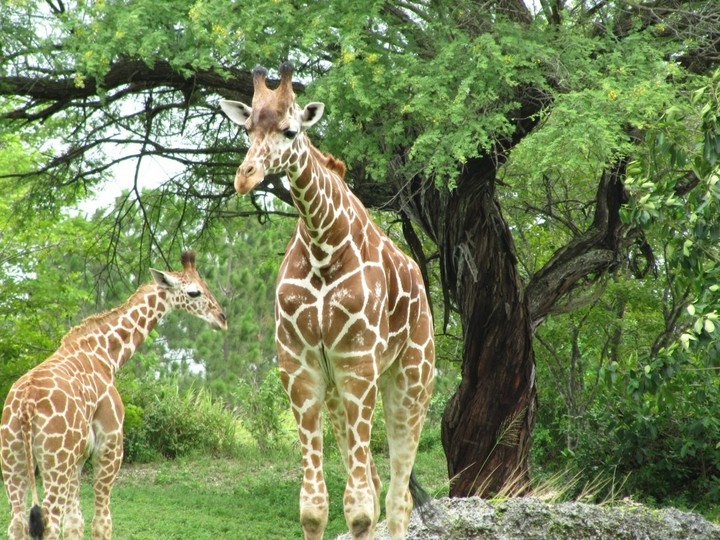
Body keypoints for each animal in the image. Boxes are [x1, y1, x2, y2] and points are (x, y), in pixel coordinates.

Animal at [1, 251, 227, 540]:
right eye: (194, 292)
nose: (222, 318)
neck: (106, 353)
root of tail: (26, 405)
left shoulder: (79, 457)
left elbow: (75, 522)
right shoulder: (109, 446)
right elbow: (102, 522)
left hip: (14, 458)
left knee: (18, 523)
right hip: (54, 460)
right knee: (49, 521)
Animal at [220, 63, 435, 540]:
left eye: (290, 130)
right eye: (246, 128)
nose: (244, 176)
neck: (323, 244)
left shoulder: (358, 363)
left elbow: (359, 508)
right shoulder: (300, 368)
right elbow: (315, 507)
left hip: (411, 378)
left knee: (398, 497)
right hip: (339, 390)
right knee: (377, 484)